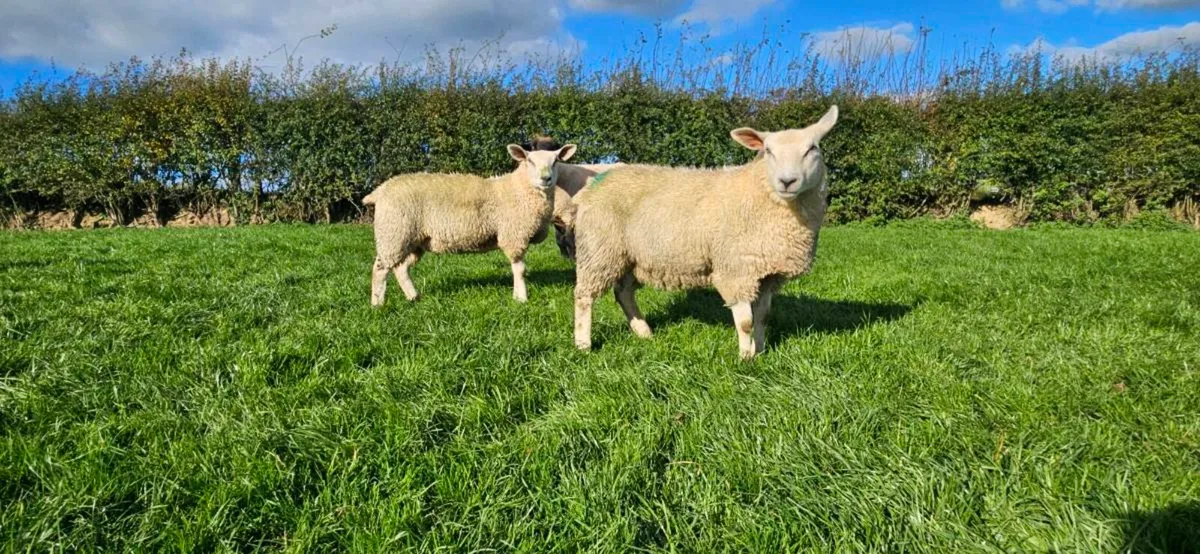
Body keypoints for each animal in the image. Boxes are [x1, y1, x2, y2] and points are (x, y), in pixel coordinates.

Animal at [363, 143, 577, 305]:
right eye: (530, 161)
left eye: (556, 161)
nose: (546, 178)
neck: (519, 189)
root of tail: (381, 190)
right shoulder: (514, 236)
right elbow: (520, 269)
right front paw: (521, 298)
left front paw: (518, 296)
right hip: (393, 232)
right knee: (380, 269)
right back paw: (377, 303)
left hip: (413, 239)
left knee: (400, 268)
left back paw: (413, 296)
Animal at [571, 106, 839, 359]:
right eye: (769, 151)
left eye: (812, 149)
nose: (787, 181)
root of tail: (594, 184)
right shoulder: (735, 269)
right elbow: (745, 322)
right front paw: (745, 358)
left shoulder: (766, 273)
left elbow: (763, 317)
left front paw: (761, 351)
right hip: (599, 249)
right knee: (584, 295)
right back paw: (583, 344)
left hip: (630, 255)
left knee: (623, 293)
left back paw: (644, 333)